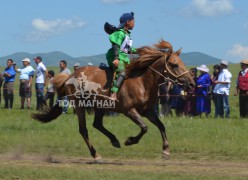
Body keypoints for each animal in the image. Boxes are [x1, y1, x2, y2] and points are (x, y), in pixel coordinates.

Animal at [32, 40, 195, 162]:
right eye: (174, 64)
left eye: (182, 63)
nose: (192, 84)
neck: (142, 81)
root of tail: (70, 76)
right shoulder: (129, 110)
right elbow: (144, 127)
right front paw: (130, 140)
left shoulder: (148, 111)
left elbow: (161, 126)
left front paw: (166, 150)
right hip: (80, 105)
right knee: (84, 130)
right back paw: (96, 155)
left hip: (99, 106)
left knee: (97, 124)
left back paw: (114, 140)